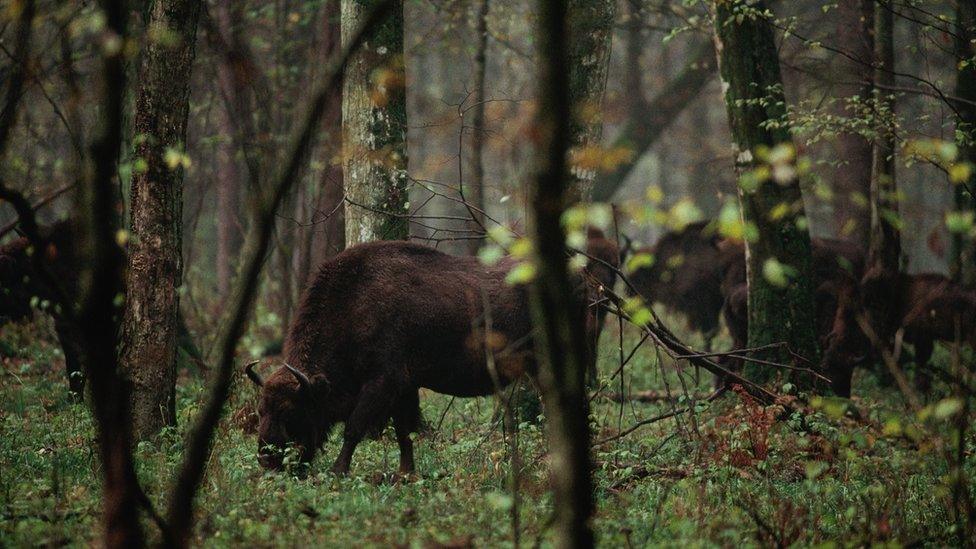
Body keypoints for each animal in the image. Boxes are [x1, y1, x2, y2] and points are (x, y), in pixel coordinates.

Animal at [248, 238, 612, 474]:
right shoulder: (403, 387)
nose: (266, 460)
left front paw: (338, 471)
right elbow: (404, 432)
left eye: (291, 410)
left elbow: (354, 428)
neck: (354, 305)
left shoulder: (382, 382)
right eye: (261, 409)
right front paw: (405, 473)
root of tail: (581, 278)